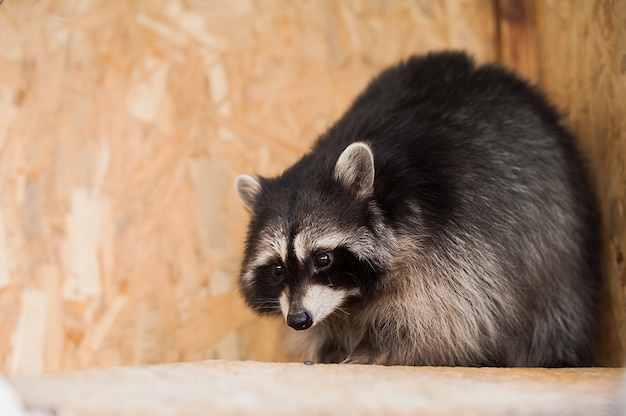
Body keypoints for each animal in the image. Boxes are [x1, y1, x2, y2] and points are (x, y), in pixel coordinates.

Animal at [234, 52, 600, 368]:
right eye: (278, 268)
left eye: (323, 258)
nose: (298, 320)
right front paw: (330, 346)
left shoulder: (461, 240)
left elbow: (447, 314)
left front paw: (374, 346)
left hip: (557, 236)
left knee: (556, 306)